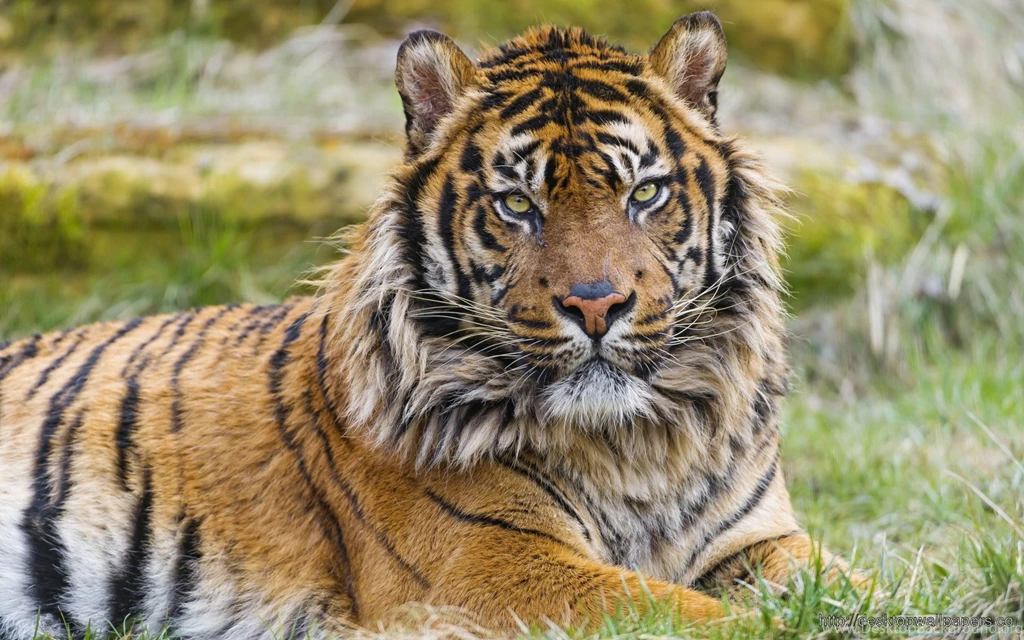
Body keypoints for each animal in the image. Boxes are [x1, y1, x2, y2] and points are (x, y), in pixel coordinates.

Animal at [0, 12, 861, 639]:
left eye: (644, 194)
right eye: (517, 204)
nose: (596, 304)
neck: (635, 446)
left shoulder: (759, 538)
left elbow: (859, 581)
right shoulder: (489, 561)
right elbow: (681, 609)